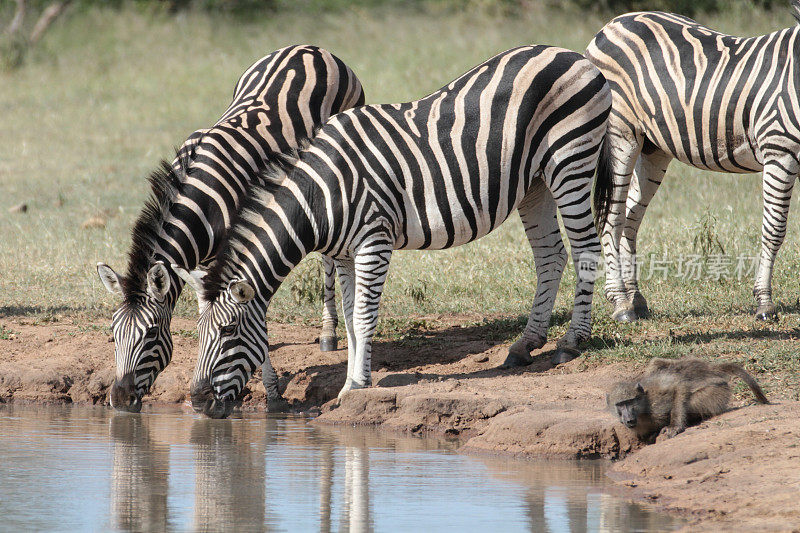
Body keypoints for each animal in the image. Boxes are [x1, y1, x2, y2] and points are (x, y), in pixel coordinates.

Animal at [96, 45, 366, 412]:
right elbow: (208, 308)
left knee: (328, 257)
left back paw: (328, 333)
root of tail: (310, 48)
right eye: (113, 333)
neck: (201, 201)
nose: (120, 401)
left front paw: (271, 391)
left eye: (151, 333)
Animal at [177, 45, 612, 418]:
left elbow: (364, 317)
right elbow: (350, 317)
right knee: (551, 255)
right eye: (198, 332)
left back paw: (571, 342)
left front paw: (356, 386)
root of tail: (570, 53)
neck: (321, 194)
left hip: (570, 159)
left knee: (586, 250)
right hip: (535, 181)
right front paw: (351, 382)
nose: (197, 402)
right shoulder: (344, 254)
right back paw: (526, 344)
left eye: (229, 330)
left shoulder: (375, 241)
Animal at [584, 6, 800, 322]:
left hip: (653, 146)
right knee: (613, 216)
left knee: (630, 218)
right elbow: (774, 229)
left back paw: (635, 299)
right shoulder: (780, 148)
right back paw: (621, 303)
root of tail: (611, 24)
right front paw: (764, 303)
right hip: (620, 132)